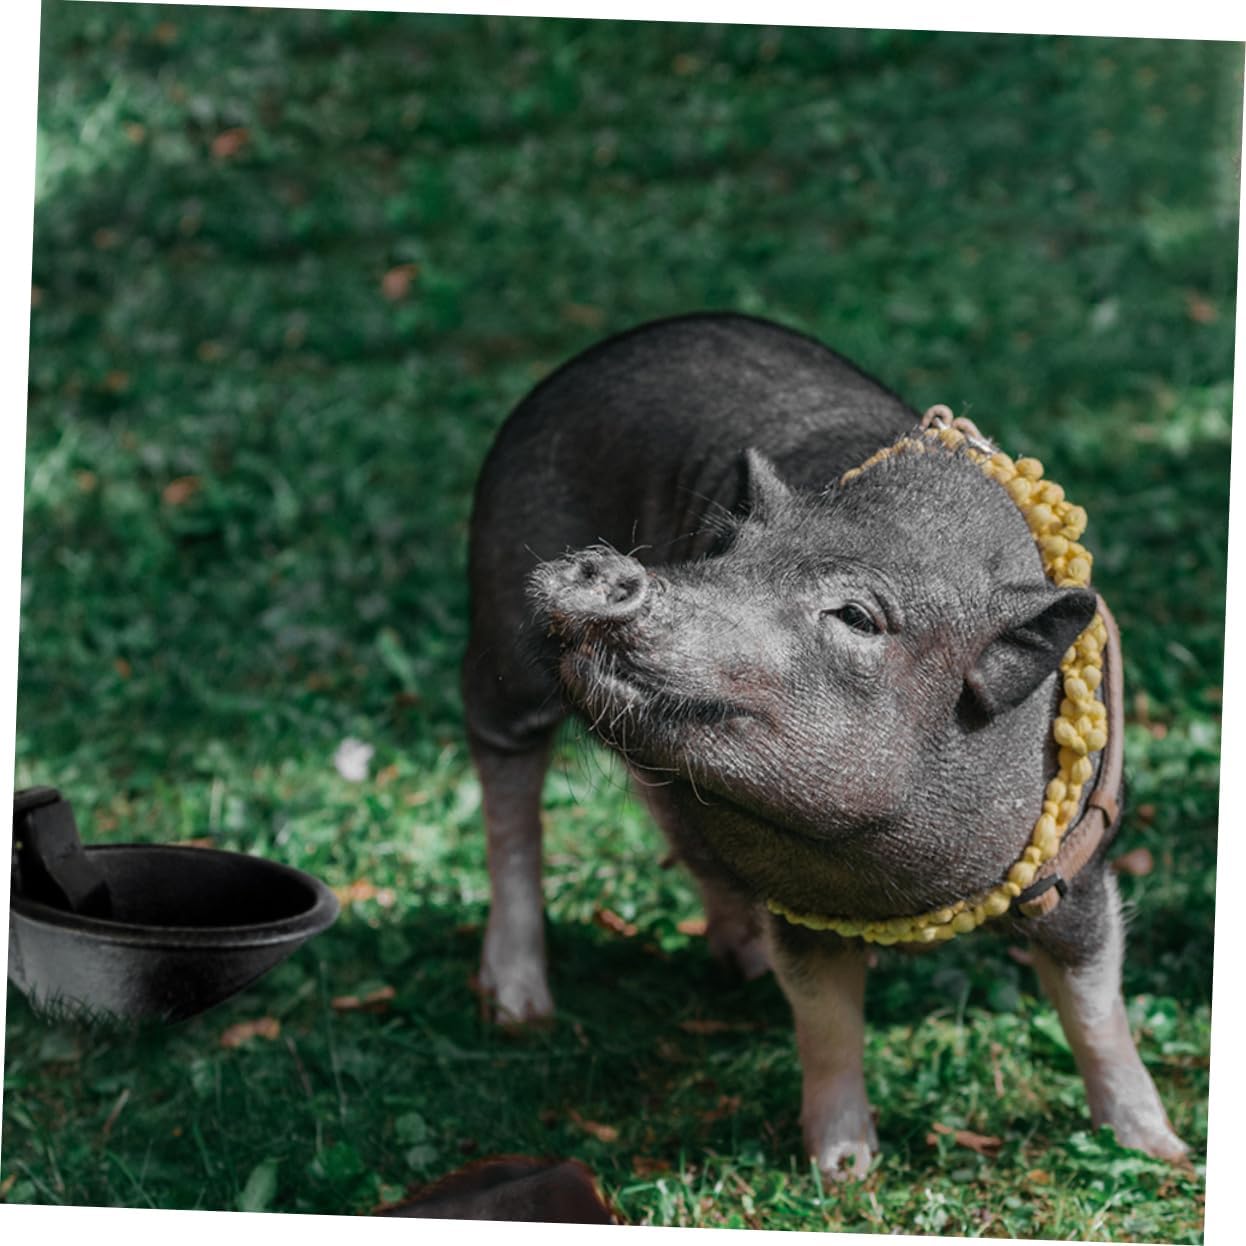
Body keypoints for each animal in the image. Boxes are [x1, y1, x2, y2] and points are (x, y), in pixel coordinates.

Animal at [461, 312, 1187, 1177]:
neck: (900, 893)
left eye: (857, 617)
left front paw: (1163, 1151)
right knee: (510, 798)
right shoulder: (802, 905)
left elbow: (1095, 1006)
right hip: (499, 638)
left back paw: (736, 964)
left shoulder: (1078, 859)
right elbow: (827, 1023)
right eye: (721, 552)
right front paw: (844, 1172)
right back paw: (519, 1012)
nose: (608, 566)